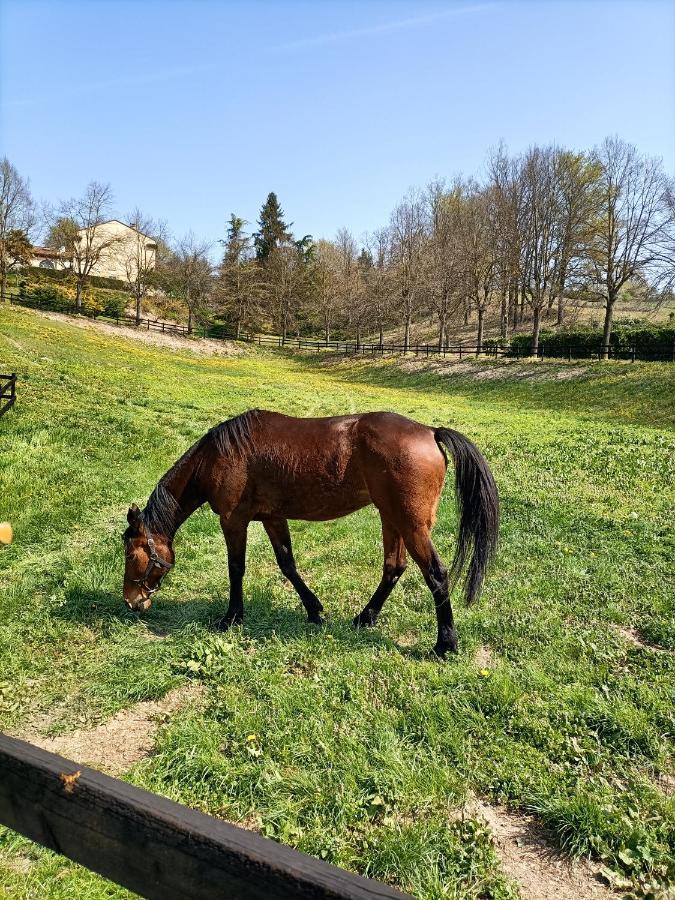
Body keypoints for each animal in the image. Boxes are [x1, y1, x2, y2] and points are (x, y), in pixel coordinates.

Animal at [123, 412, 502, 656]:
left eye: (132, 553)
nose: (131, 601)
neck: (220, 455)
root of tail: (429, 431)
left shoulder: (234, 521)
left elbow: (236, 568)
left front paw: (231, 618)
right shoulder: (273, 518)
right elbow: (287, 565)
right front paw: (314, 610)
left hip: (410, 524)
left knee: (436, 574)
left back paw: (445, 644)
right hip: (392, 518)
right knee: (394, 568)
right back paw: (365, 618)